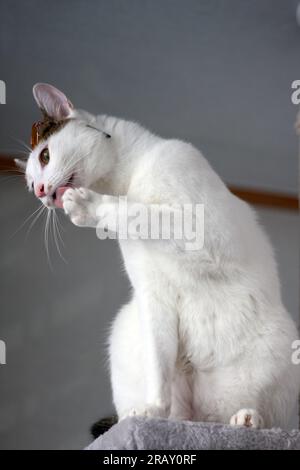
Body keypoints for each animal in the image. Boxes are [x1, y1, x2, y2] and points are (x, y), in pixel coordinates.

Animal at [18, 82, 300, 428]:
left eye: (45, 156)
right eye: (30, 184)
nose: (41, 191)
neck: (126, 182)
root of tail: (202, 418)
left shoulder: (206, 231)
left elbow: (139, 212)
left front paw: (88, 206)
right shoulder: (153, 296)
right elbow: (159, 369)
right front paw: (153, 410)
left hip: (282, 344)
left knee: (268, 416)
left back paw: (247, 419)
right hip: (126, 323)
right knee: (178, 408)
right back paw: (156, 419)